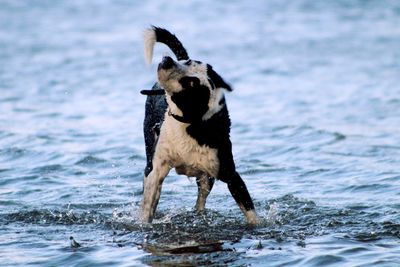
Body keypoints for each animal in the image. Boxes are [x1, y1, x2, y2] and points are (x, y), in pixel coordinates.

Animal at [140, 26, 260, 226]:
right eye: (189, 62)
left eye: (190, 82)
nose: (167, 60)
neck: (191, 122)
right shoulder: (155, 170)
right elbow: (148, 205)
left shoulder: (229, 173)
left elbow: (249, 209)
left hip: (206, 178)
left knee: (201, 199)